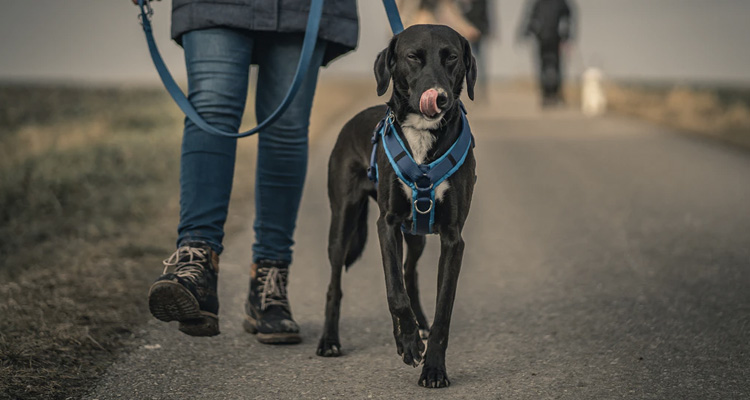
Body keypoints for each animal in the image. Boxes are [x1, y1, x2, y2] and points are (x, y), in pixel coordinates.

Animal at [318, 25, 476, 388]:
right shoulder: (386, 225)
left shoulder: (452, 238)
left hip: (415, 232)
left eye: (452, 57)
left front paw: (433, 368)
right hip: (343, 223)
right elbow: (394, 292)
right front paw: (408, 343)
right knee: (336, 284)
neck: (422, 133)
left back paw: (417, 327)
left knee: (409, 270)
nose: (440, 97)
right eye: (413, 57)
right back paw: (330, 340)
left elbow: (442, 308)